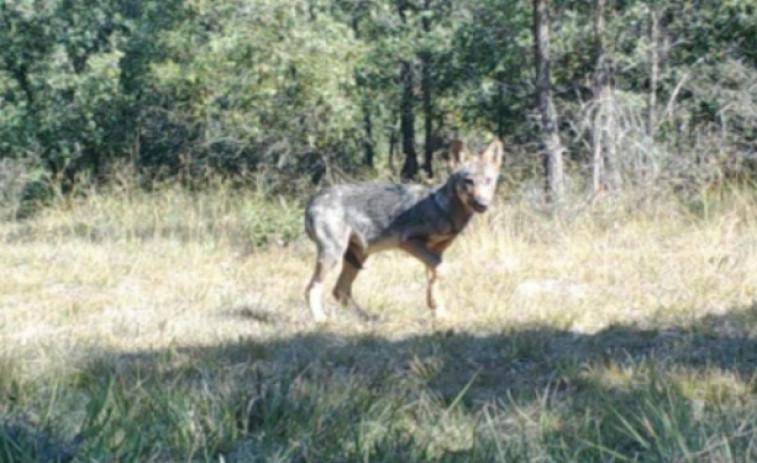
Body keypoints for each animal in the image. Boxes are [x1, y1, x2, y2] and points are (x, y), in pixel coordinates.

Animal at [302, 138, 502, 322]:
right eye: (469, 181)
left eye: (488, 181)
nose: (483, 204)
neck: (443, 209)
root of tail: (313, 199)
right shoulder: (410, 242)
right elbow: (442, 271)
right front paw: (436, 306)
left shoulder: (436, 252)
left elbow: (433, 278)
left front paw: (437, 310)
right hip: (334, 255)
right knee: (311, 288)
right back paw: (321, 320)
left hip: (358, 256)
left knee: (339, 290)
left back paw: (369, 318)